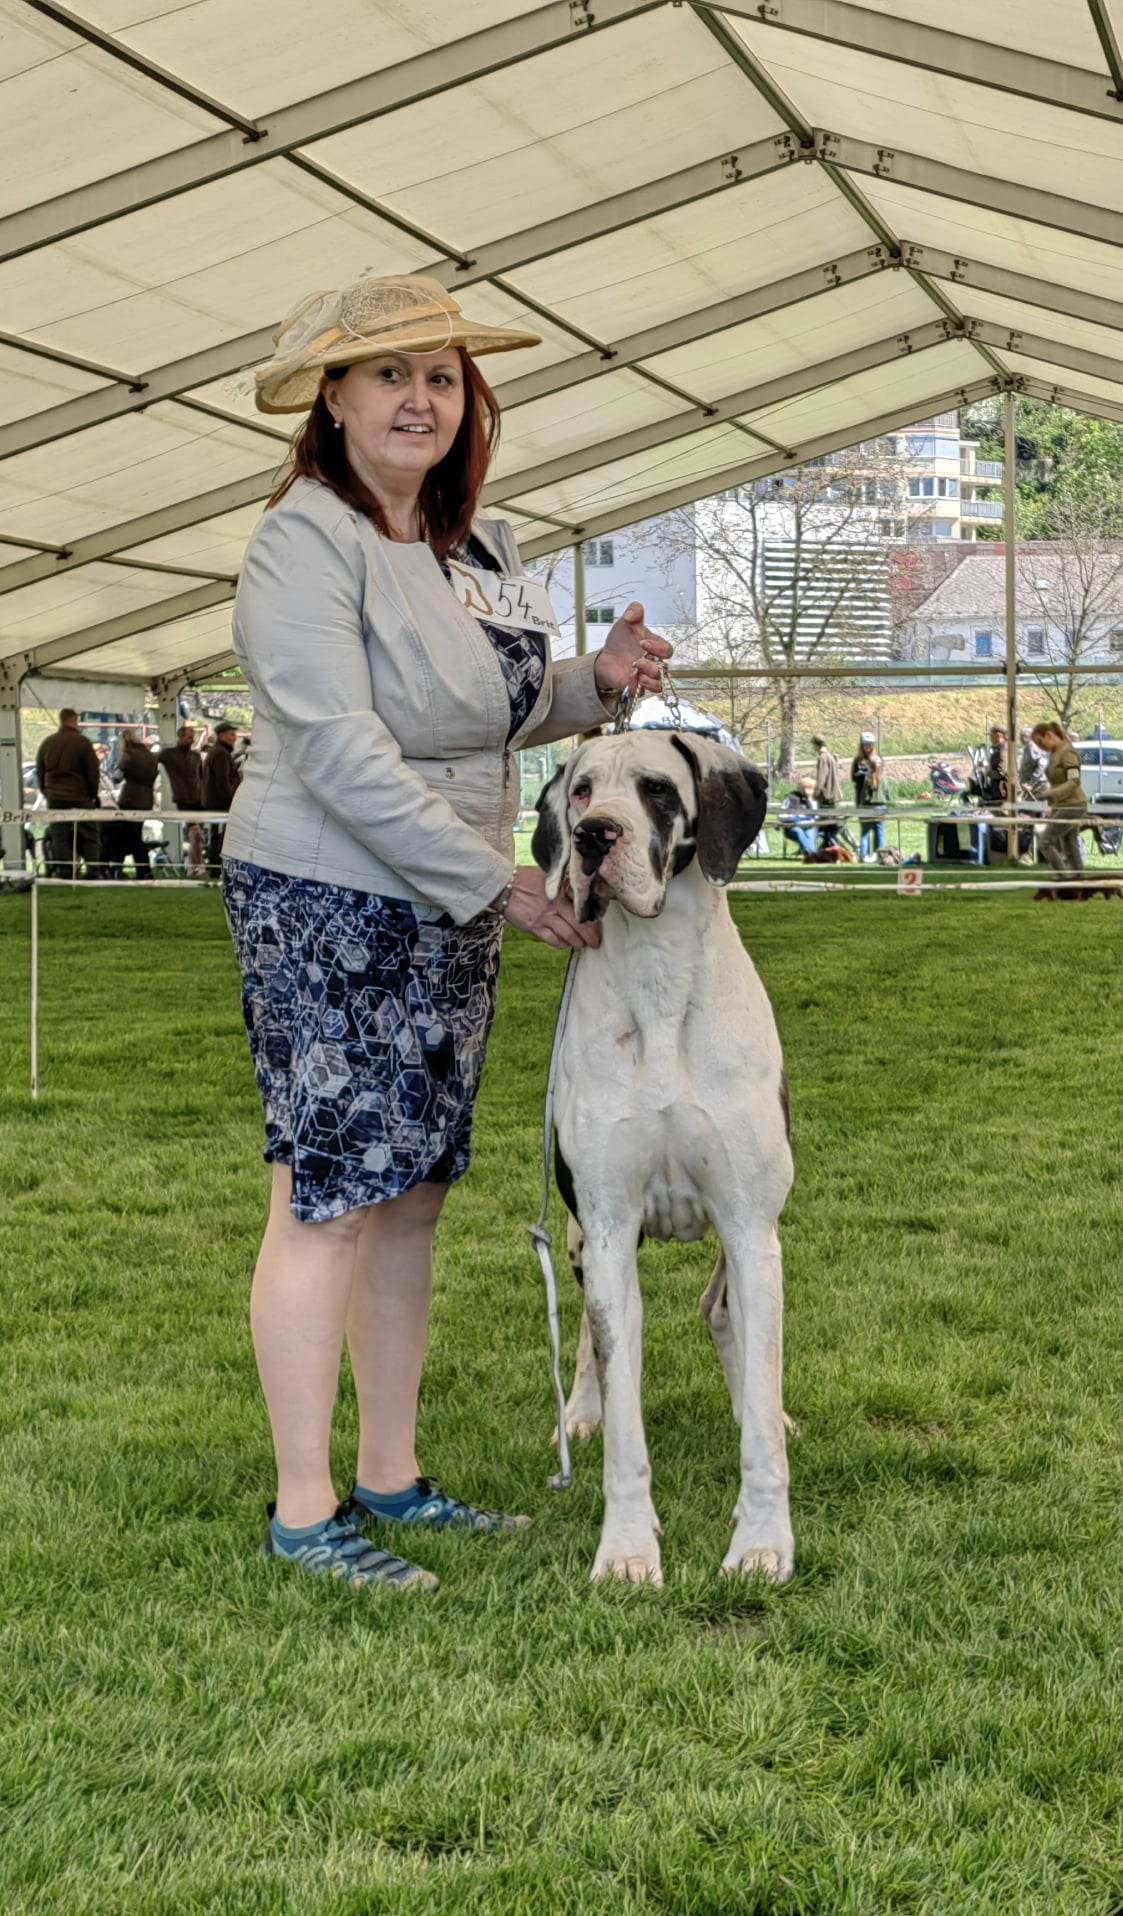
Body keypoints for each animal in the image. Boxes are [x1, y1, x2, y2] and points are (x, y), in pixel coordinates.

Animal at [532, 728, 785, 1586]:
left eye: (655, 790)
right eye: (580, 789)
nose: (591, 837)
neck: (658, 971)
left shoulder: (749, 1225)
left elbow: (759, 1399)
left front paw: (762, 1542)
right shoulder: (610, 1231)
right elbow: (622, 1411)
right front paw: (626, 1551)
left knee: (724, 1316)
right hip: (580, 1241)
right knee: (585, 1336)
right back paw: (578, 1412)